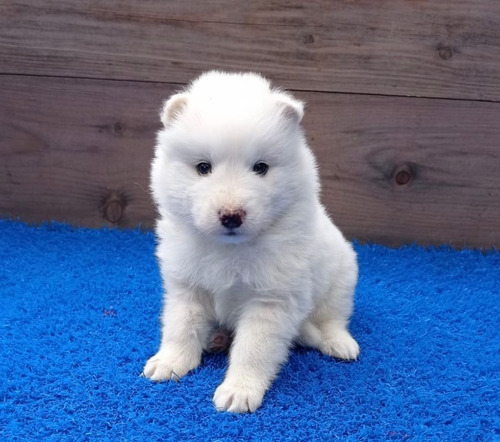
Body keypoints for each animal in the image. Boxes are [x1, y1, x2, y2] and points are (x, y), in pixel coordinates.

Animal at [144, 71, 360, 412]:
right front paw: (170, 361)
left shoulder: (270, 301)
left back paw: (339, 342)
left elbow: (253, 349)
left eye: (261, 167)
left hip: (340, 279)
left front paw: (239, 390)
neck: (229, 248)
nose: (232, 215)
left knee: (333, 318)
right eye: (203, 167)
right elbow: (181, 326)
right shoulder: (187, 286)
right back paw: (217, 338)